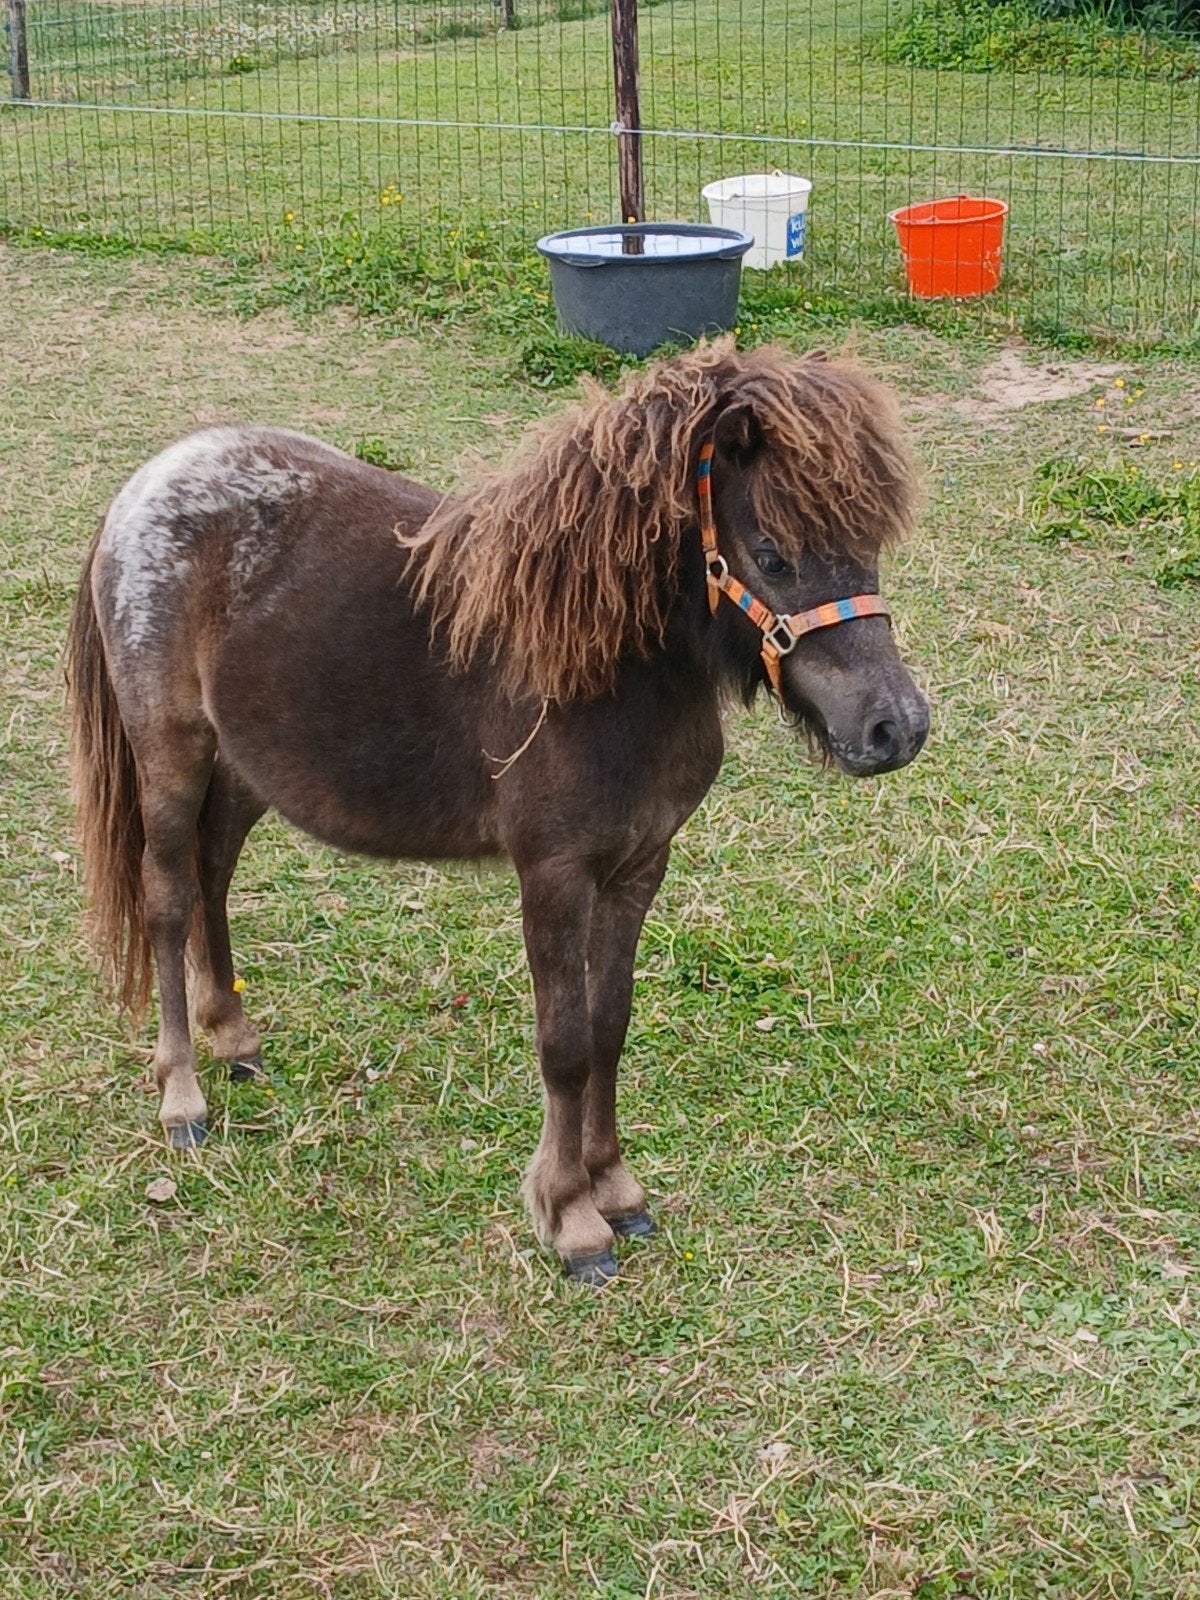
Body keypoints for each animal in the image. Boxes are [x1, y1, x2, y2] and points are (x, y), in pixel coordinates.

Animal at [66, 340, 929, 1283]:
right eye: (773, 556)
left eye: (869, 547)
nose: (896, 727)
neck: (600, 668)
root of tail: (142, 485)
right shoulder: (553, 875)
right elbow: (564, 1044)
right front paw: (571, 1219)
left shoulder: (638, 867)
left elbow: (609, 1026)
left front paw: (616, 1190)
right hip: (172, 753)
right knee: (167, 897)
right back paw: (182, 1096)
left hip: (245, 766)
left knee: (212, 876)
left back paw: (235, 1041)